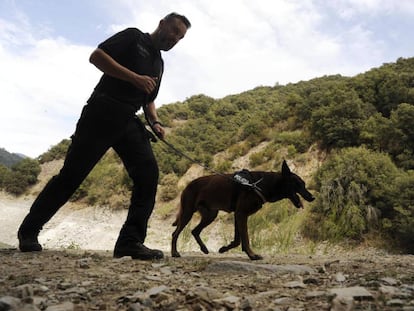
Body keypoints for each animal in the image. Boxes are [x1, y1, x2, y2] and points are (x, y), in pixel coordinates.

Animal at [171, 161, 314, 260]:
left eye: (304, 184)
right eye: (299, 184)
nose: (312, 197)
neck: (261, 184)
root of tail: (187, 185)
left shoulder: (238, 215)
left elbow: (237, 240)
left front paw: (224, 249)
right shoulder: (241, 214)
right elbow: (245, 238)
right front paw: (252, 255)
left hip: (210, 215)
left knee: (194, 231)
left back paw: (204, 248)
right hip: (188, 213)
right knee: (175, 233)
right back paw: (174, 253)